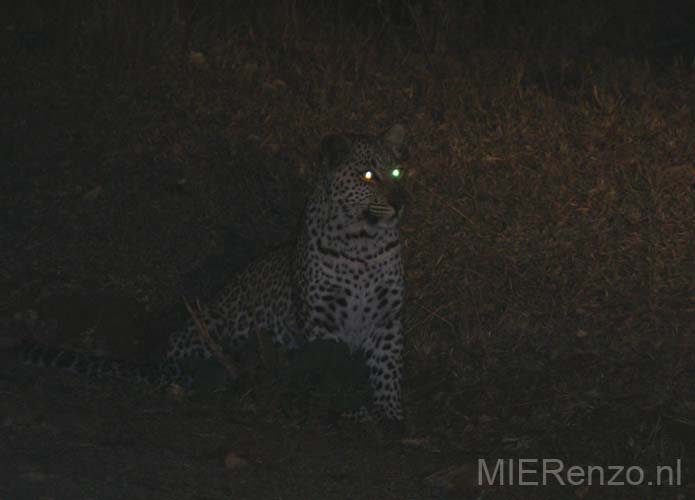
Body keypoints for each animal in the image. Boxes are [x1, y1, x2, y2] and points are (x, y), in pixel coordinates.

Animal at [20, 124, 408, 422]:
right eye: (368, 175)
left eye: (396, 173)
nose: (400, 202)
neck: (363, 244)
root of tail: (162, 362)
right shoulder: (322, 319)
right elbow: (331, 366)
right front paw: (346, 409)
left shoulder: (388, 316)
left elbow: (387, 368)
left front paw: (390, 414)